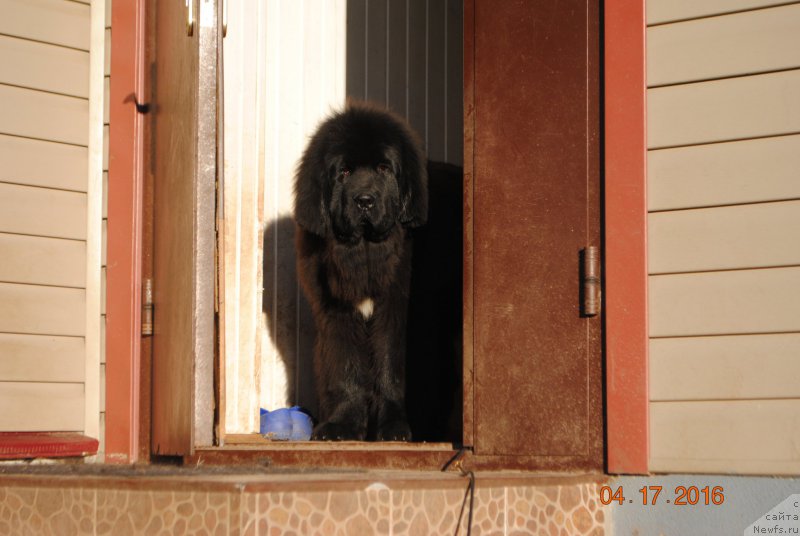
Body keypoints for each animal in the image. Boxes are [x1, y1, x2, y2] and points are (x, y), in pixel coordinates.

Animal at [294, 102, 428, 442]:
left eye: (383, 169)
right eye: (343, 173)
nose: (364, 200)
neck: (364, 252)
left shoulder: (393, 308)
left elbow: (388, 366)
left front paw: (393, 428)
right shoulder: (335, 310)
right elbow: (345, 367)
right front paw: (341, 425)